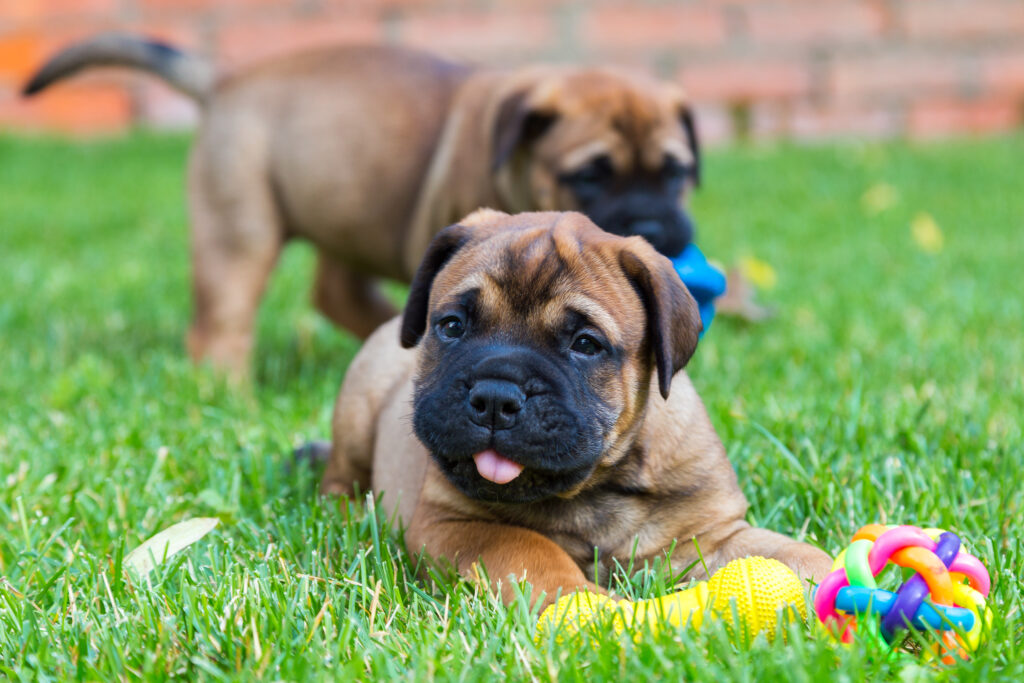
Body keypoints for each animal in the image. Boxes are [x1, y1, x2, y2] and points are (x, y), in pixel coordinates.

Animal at [24, 34, 704, 378]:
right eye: (589, 176)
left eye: (676, 172)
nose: (653, 226)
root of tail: (225, 81)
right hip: (238, 229)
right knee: (221, 327)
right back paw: (231, 397)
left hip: (344, 212)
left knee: (339, 294)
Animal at [321, 210, 831, 606]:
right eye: (451, 326)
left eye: (585, 344)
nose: (496, 397)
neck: (595, 486)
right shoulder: (454, 523)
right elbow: (528, 548)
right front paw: (587, 606)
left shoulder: (711, 533)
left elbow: (796, 554)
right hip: (359, 404)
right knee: (339, 478)